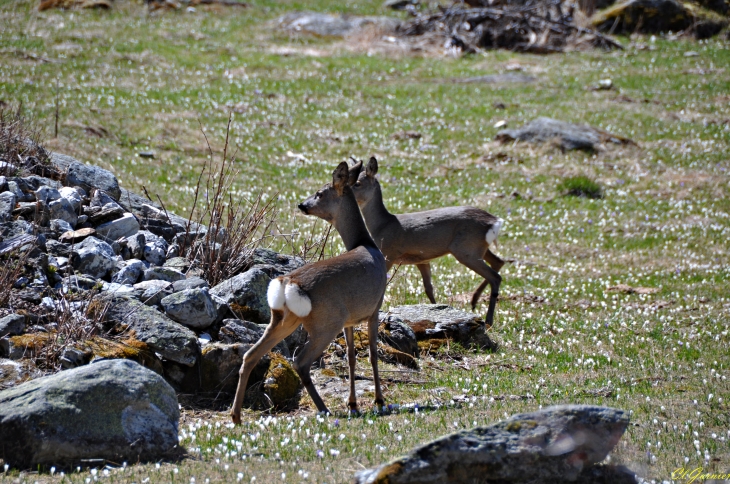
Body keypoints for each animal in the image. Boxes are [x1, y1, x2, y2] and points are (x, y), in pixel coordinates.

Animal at [229, 162, 386, 424]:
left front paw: (353, 404)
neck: (367, 244)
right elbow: (372, 354)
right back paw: (324, 409)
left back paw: (236, 415)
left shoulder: (350, 319)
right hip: (325, 322)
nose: (302, 205)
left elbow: (351, 357)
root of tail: (287, 282)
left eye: (319, 193)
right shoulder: (375, 307)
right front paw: (379, 401)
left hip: (284, 319)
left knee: (250, 354)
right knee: (300, 362)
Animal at [350, 157, 504, 328]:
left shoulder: (389, 253)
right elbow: (428, 288)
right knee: (498, 262)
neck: (382, 225)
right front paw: (437, 312)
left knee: (495, 277)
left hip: (466, 250)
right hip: (478, 247)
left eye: (357, 183)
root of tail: (495, 222)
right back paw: (474, 301)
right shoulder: (422, 259)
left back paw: (488, 319)